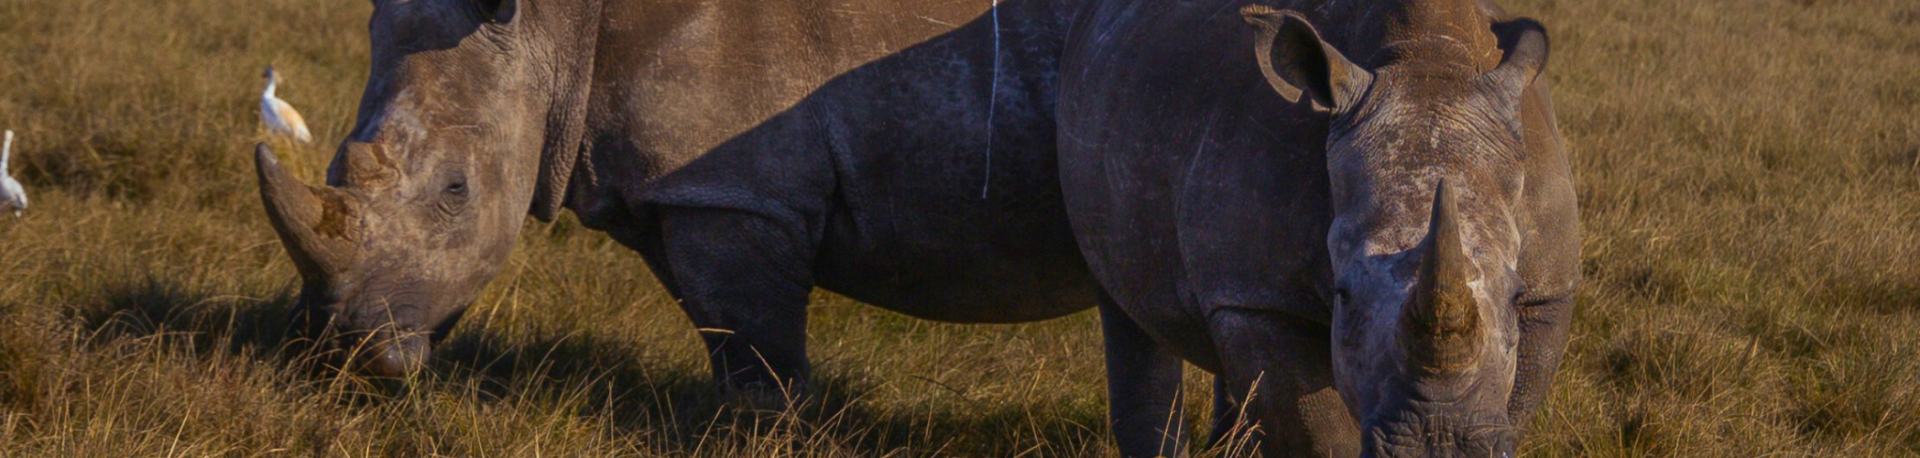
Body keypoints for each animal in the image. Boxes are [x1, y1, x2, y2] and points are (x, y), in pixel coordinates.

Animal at [254, 0, 1092, 393]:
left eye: (456, 192)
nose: (337, 352)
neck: (556, 29)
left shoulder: (735, 192)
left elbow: (758, 354)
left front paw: (766, 435)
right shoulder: (682, 190)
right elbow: (725, 330)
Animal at [1057, 0, 1578, 456]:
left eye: (1515, 295)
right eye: (1342, 295)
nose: (1440, 444)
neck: (1425, 56)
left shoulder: (1550, 291)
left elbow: (1515, 401)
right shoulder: (1258, 300)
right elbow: (1321, 438)